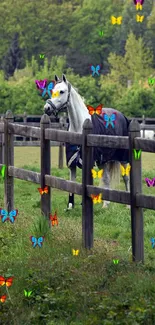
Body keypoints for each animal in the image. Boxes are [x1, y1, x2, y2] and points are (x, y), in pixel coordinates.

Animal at [44, 74, 131, 209]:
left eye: (62, 91)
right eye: (53, 91)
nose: (47, 108)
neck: (79, 127)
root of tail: (122, 116)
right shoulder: (72, 163)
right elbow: (72, 183)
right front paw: (70, 206)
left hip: (123, 158)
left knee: (126, 177)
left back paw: (128, 206)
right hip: (103, 160)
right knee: (106, 178)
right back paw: (106, 205)